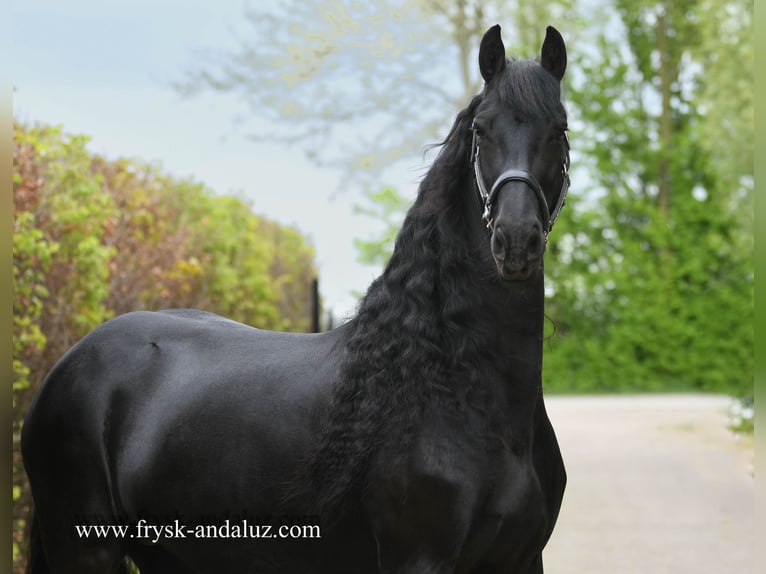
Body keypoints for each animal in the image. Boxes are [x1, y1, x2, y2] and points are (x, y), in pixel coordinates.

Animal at [22, 24, 569, 574]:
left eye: (560, 129)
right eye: (481, 130)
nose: (515, 241)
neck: (450, 385)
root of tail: (68, 364)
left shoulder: (523, 559)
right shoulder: (418, 560)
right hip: (86, 550)